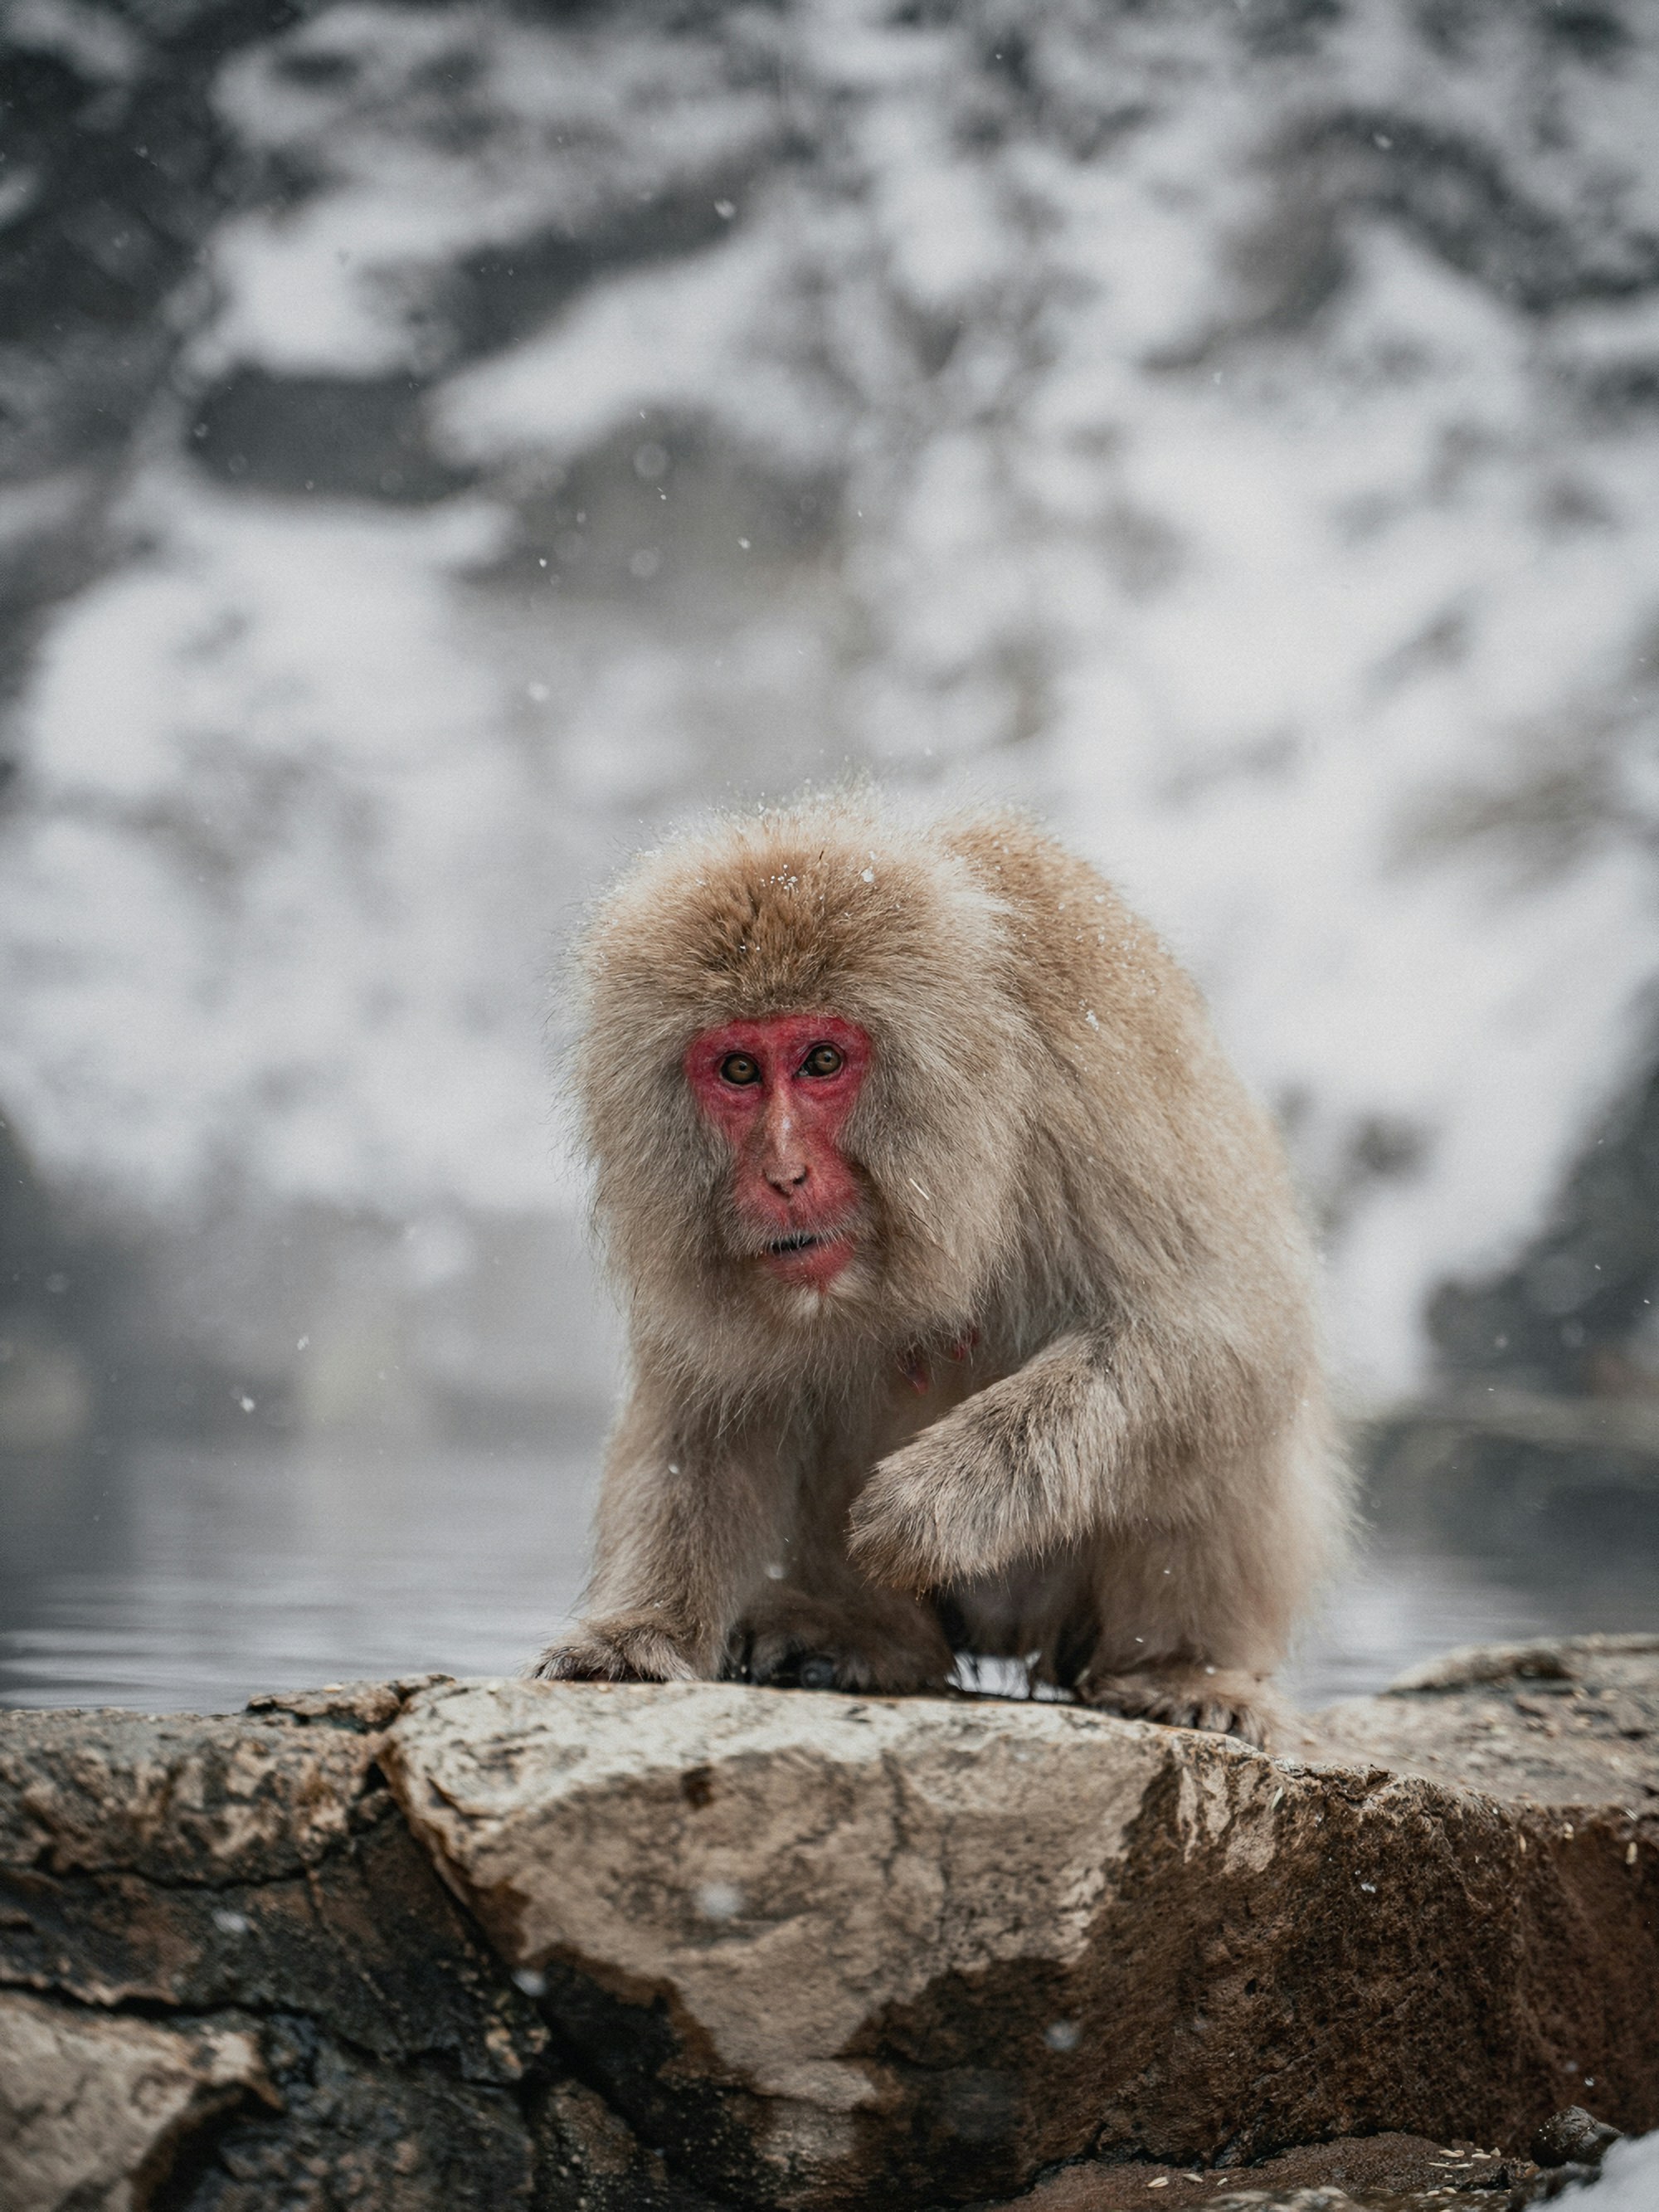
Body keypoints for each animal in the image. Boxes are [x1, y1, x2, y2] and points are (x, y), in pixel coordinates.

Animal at [531, 797, 1345, 1747]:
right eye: (737, 1069)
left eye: (820, 1060)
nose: (782, 1175)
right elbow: (710, 1405)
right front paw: (640, 1630)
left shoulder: (1093, 1063)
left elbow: (1217, 1331)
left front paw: (932, 1504)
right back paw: (866, 1635)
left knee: (1219, 1420)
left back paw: (1180, 1669)